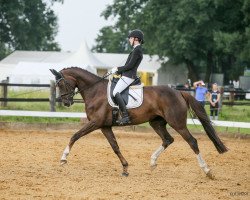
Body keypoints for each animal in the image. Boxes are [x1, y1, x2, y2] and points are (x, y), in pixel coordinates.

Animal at [49, 67, 228, 178]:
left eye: (62, 83)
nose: (66, 103)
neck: (95, 91)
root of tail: (179, 92)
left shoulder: (95, 123)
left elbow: (75, 136)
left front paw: (63, 158)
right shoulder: (105, 126)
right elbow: (115, 146)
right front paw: (125, 168)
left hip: (177, 123)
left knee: (192, 142)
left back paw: (207, 170)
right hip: (156, 123)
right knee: (168, 139)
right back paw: (153, 162)